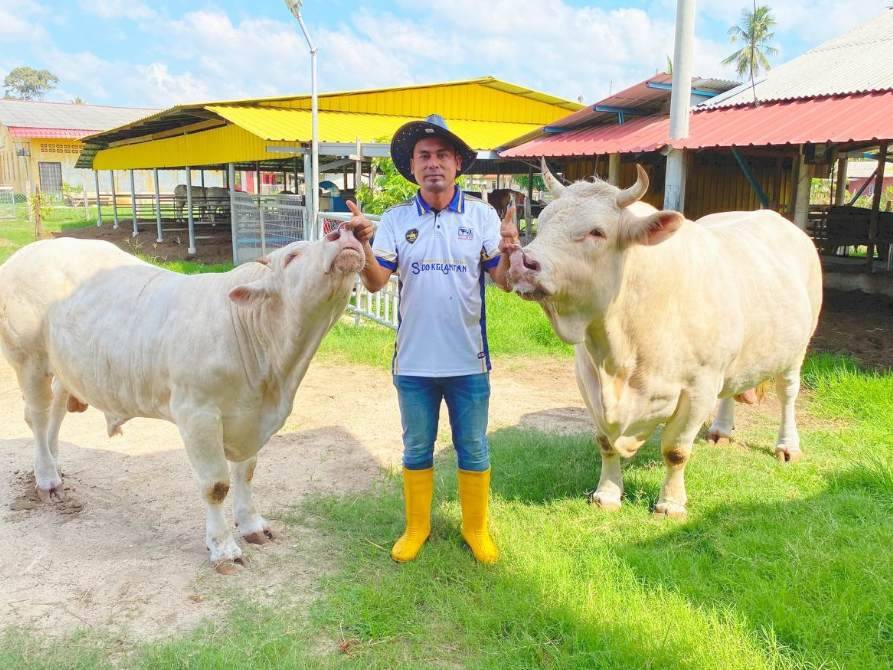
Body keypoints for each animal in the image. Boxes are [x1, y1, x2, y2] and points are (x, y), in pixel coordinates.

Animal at [0, 234, 364, 568]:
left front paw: (252, 525)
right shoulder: (197, 413)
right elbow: (216, 485)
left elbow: (246, 473)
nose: (344, 233)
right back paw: (47, 478)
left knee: (56, 411)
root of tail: (29, 251)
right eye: (292, 256)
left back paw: (54, 464)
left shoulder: (252, 419)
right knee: (37, 416)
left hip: (64, 367)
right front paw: (223, 549)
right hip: (29, 360)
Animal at [508, 161, 824, 520]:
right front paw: (607, 493)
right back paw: (721, 430)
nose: (522, 262)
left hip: (797, 349)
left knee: (787, 394)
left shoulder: (698, 387)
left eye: (597, 232)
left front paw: (671, 503)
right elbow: (605, 442)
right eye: (544, 220)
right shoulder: (587, 379)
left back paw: (787, 446)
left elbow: (675, 450)